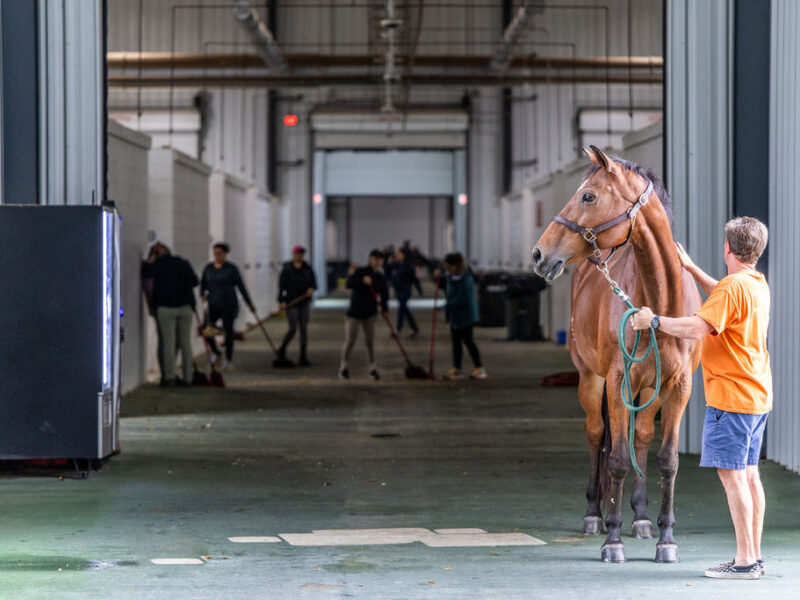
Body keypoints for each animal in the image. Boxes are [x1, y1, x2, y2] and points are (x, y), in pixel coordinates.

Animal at [532, 145, 700, 564]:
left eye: (588, 196)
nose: (539, 254)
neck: (659, 303)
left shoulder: (678, 387)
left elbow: (666, 459)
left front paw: (666, 539)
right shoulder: (616, 380)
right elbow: (618, 459)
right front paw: (612, 539)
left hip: (646, 391)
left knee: (640, 437)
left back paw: (639, 518)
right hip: (591, 381)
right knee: (597, 436)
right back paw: (596, 514)